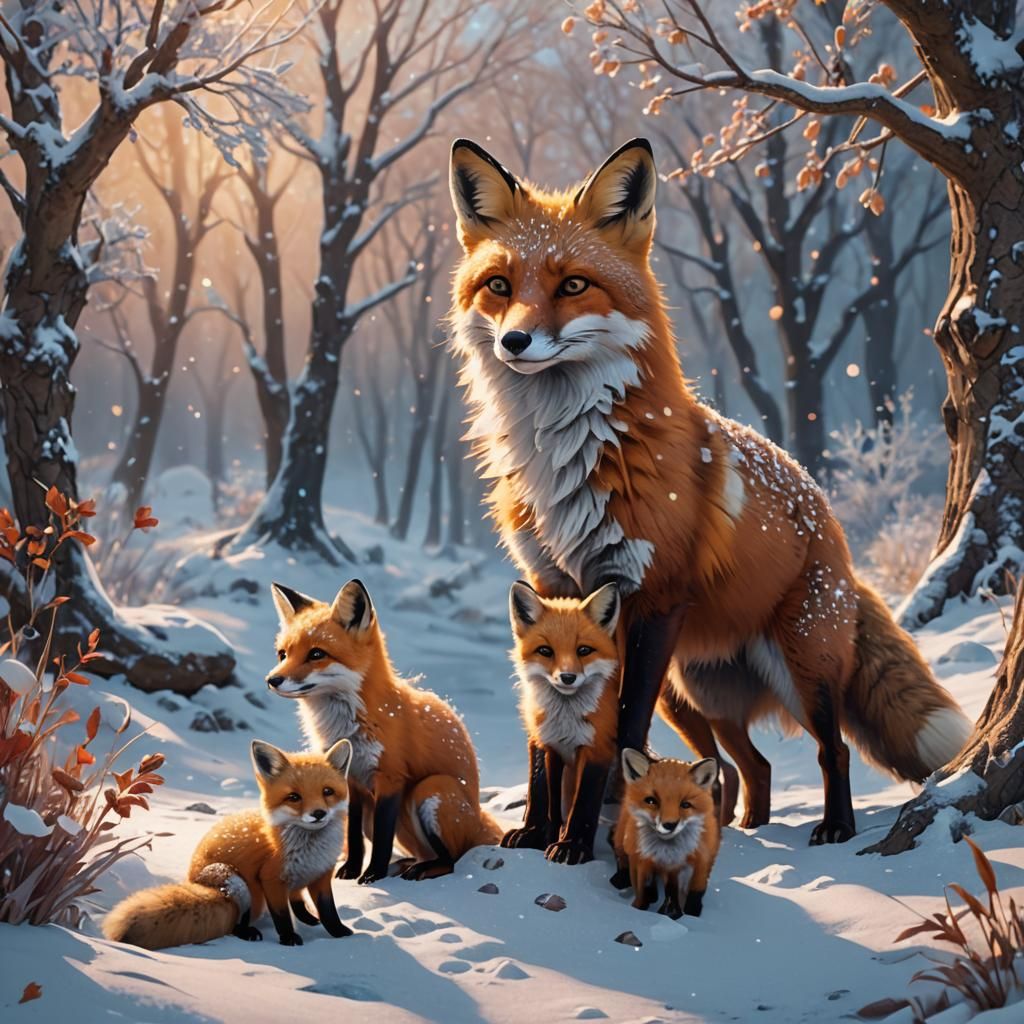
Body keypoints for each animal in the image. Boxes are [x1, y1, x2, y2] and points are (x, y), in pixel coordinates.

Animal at [103, 738, 353, 949]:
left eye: (327, 792)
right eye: (294, 797)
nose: (318, 814)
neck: (311, 852)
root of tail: (192, 880)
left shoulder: (321, 875)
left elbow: (328, 911)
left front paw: (340, 933)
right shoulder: (271, 879)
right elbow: (282, 915)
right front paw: (289, 938)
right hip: (238, 883)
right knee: (235, 924)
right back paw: (248, 932)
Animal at [266, 578, 502, 884]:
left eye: (316, 654)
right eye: (283, 654)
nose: (272, 680)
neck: (349, 727)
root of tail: (480, 819)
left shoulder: (390, 777)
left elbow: (382, 837)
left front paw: (372, 875)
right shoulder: (350, 781)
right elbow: (353, 836)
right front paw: (351, 870)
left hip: (432, 788)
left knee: (451, 861)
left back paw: (421, 869)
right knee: (422, 853)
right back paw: (407, 863)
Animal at [505, 579, 621, 863]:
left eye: (584, 650)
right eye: (545, 651)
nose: (568, 677)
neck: (565, 723)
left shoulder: (597, 748)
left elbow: (584, 805)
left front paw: (572, 846)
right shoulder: (543, 742)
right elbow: (540, 794)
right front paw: (534, 835)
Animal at [612, 749, 720, 919]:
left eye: (685, 805)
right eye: (651, 801)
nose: (669, 825)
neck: (667, 850)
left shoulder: (698, 861)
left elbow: (691, 892)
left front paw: (686, 914)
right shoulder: (642, 859)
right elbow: (644, 887)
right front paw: (641, 909)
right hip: (623, 840)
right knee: (621, 856)